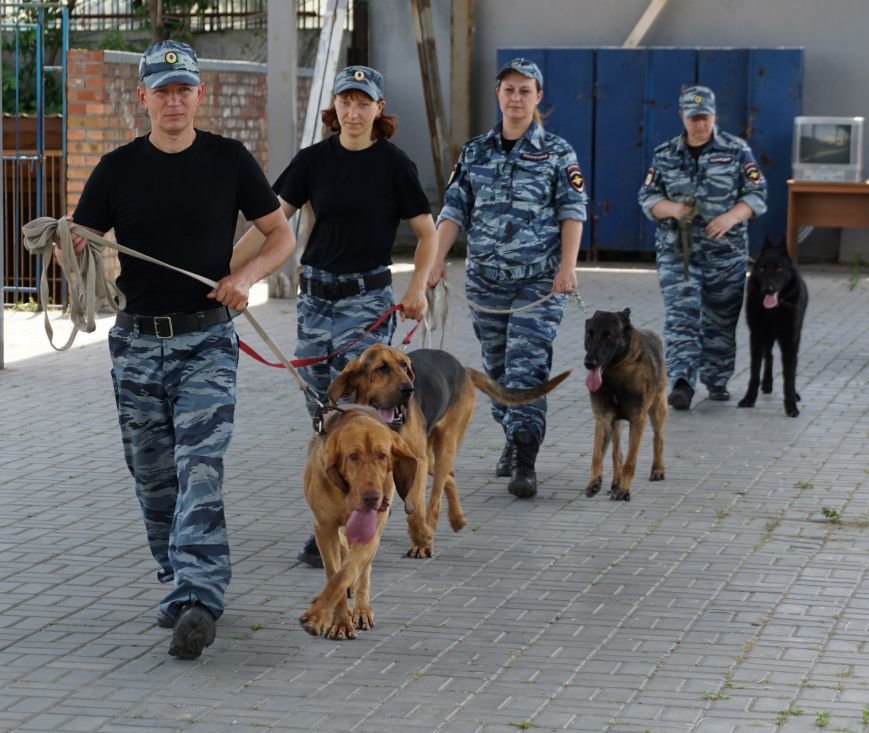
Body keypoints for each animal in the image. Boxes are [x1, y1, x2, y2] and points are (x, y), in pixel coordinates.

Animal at [740, 239, 808, 412]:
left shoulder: (790, 341)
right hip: (767, 337)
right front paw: (749, 398)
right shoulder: (756, 337)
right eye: (762, 269)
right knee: (769, 356)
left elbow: (789, 375)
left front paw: (791, 404)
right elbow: (754, 371)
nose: (768, 289)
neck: (773, 310)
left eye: (779, 268)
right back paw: (767, 383)